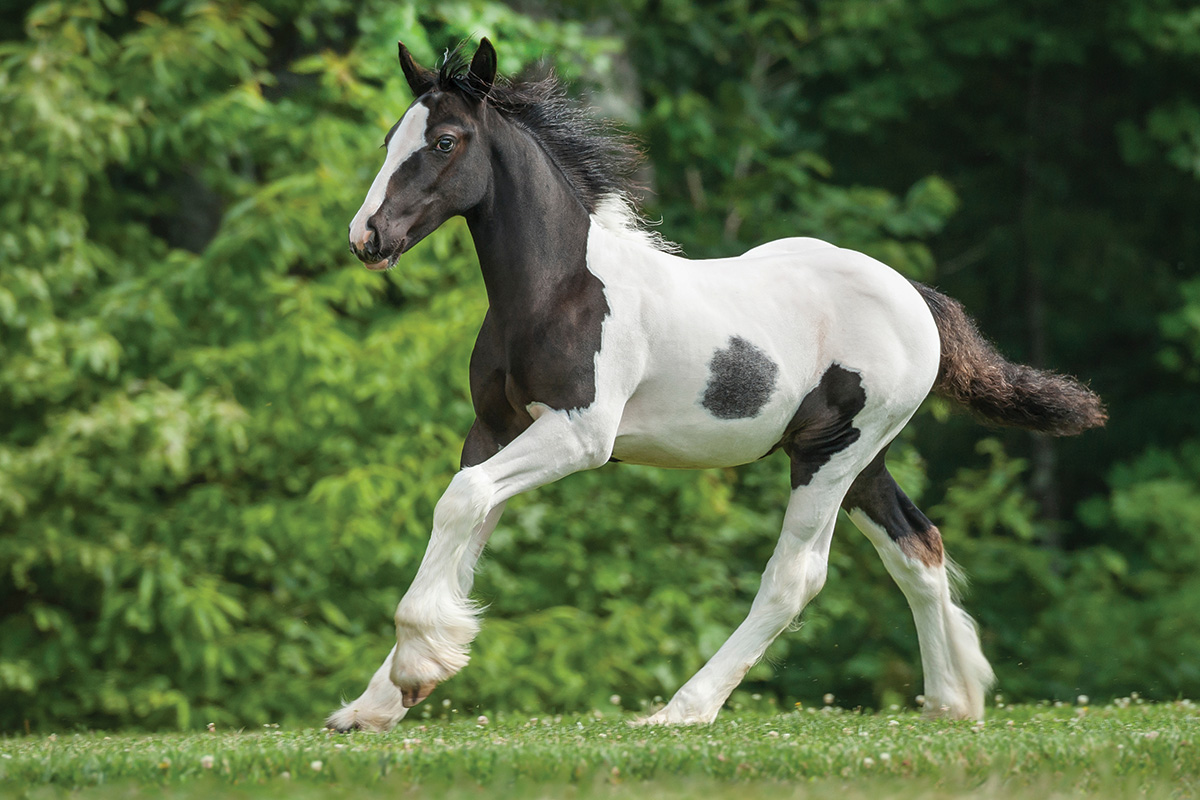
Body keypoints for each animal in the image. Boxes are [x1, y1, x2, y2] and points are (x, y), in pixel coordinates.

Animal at [326, 42, 1104, 734]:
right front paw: (378, 703)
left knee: (797, 577)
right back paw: (954, 700)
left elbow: (461, 502)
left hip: (832, 455)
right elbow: (466, 524)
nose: (367, 238)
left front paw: (416, 669)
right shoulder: (495, 428)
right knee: (919, 548)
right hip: (861, 461)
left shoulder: (579, 434)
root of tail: (915, 296)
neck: (558, 291)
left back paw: (682, 709)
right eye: (392, 138)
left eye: (445, 141)